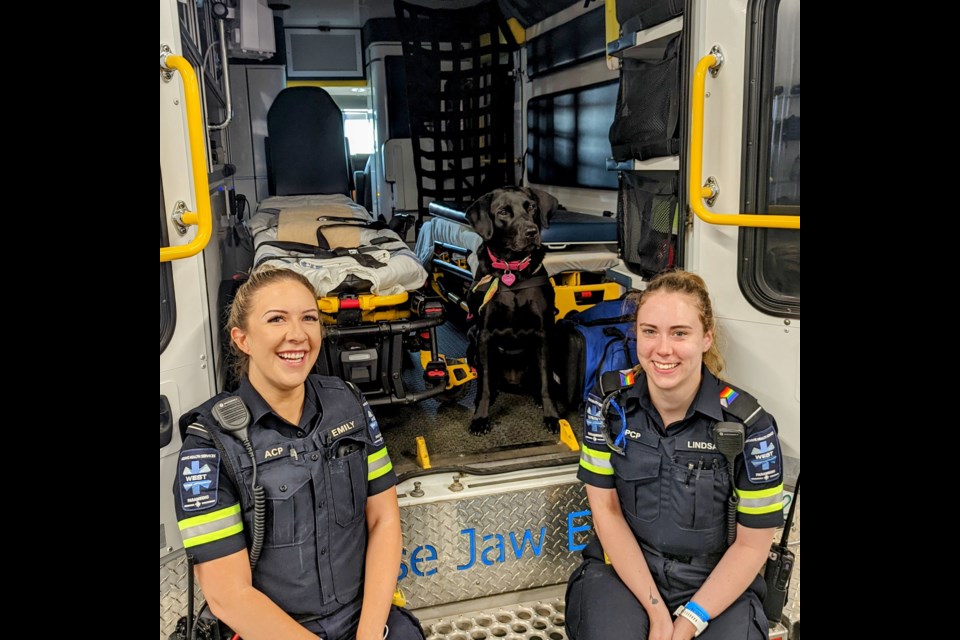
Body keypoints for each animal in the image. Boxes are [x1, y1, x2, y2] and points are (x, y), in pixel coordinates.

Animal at [464, 185, 564, 436]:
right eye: (502, 212)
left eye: (532, 207)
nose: (531, 232)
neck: (512, 269)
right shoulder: (484, 334)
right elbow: (485, 383)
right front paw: (480, 418)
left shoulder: (543, 333)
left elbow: (547, 381)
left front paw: (552, 416)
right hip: (472, 342)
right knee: (486, 382)